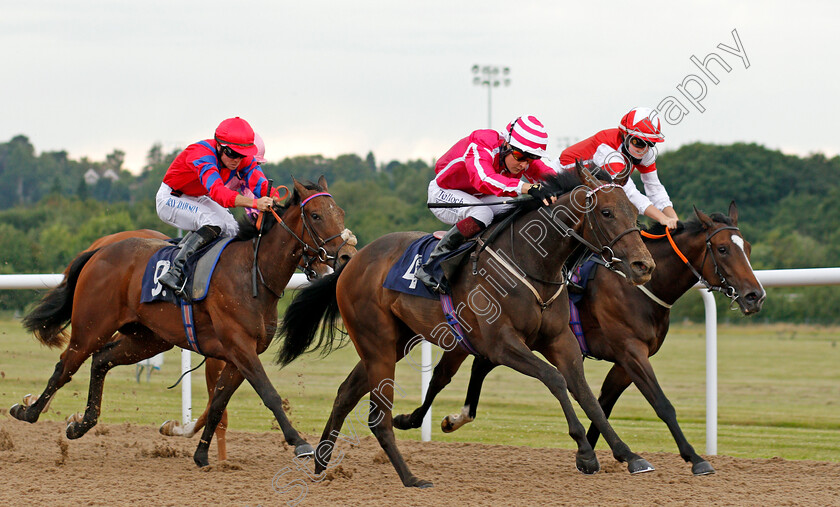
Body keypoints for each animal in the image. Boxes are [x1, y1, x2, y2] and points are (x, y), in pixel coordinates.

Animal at [13, 179, 354, 468]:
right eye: (316, 215)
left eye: (340, 212)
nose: (347, 256)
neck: (251, 273)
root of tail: (99, 250)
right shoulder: (239, 346)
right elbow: (268, 393)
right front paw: (299, 443)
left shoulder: (238, 355)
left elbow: (218, 402)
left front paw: (201, 455)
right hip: (91, 327)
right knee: (66, 365)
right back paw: (28, 410)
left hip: (147, 339)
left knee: (102, 360)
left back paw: (80, 425)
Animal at [278, 163, 660, 488]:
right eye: (607, 212)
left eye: (634, 211)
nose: (644, 266)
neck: (529, 262)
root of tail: (352, 261)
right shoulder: (501, 344)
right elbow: (554, 379)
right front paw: (584, 452)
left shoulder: (560, 339)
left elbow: (584, 392)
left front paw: (629, 455)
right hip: (378, 344)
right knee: (376, 416)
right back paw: (411, 478)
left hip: (392, 343)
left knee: (345, 393)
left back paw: (321, 464)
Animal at [390, 201, 764, 476]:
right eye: (722, 249)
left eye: (746, 247)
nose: (754, 296)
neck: (637, 288)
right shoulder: (631, 353)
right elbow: (661, 404)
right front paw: (694, 458)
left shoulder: (625, 362)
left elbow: (602, 402)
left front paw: (603, 452)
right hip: (469, 337)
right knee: (441, 377)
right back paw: (412, 419)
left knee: (477, 367)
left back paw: (453, 418)